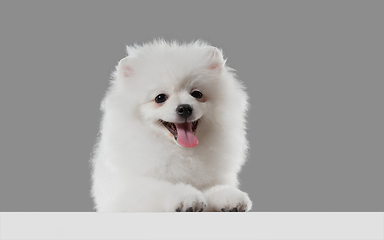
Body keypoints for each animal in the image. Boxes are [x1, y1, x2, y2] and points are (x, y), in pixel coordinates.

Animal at [90, 39, 252, 212]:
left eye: (197, 94)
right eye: (160, 98)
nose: (185, 108)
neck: (181, 151)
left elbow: (213, 188)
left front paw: (229, 197)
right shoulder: (126, 191)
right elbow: (160, 188)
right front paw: (186, 197)